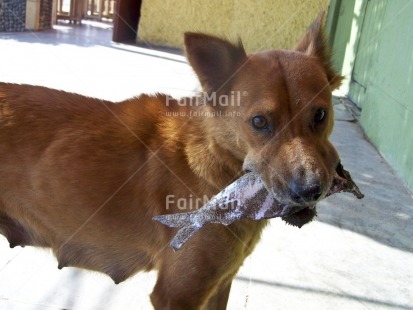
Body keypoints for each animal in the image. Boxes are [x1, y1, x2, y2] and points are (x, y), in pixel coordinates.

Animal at [0, 13, 342, 310]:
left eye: (320, 115)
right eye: (259, 122)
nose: (310, 191)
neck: (215, 162)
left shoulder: (220, 283)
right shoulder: (177, 295)